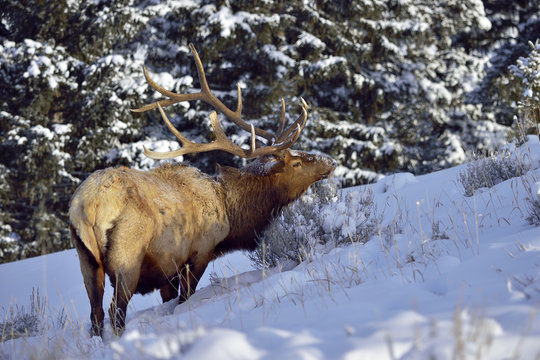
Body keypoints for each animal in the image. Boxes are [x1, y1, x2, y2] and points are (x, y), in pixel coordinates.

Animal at [69, 43, 336, 338]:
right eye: (297, 162)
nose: (330, 162)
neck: (231, 215)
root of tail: (88, 206)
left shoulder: (168, 270)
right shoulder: (200, 251)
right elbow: (185, 299)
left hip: (86, 259)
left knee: (95, 314)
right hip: (127, 253)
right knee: (116, 311)